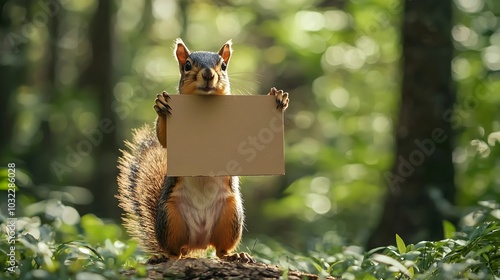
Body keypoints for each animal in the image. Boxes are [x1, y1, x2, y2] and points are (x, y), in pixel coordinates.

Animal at [116, 38, 290, 264]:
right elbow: (165, 140)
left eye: (223, 66)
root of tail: (198, 242)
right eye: (188, 65)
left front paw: (279, 97)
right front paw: (161, 104)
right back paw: (165, 256)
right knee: (176, 251)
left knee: (220, 250)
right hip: (170, 218)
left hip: (231, 217)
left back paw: (236, 255)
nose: (208, 74)